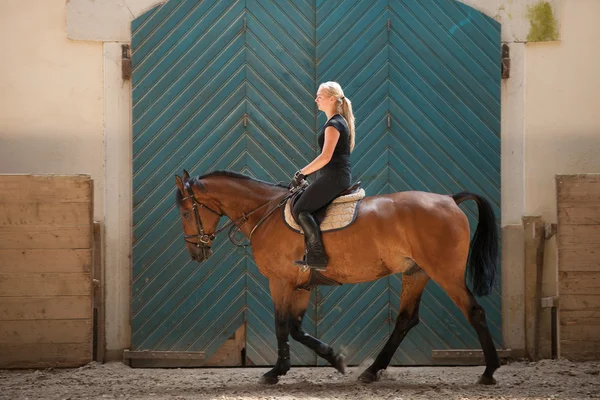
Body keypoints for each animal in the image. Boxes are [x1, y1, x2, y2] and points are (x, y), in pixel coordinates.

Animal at [175, 168, 502, 384]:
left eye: (185, 213)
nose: (195, 253)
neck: (264, 213)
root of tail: (449, 199)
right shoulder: (301, 285)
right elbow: (296, 328)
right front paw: (335, 358)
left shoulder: (280, 281)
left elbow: (281, 326)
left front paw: (275, 372)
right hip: (416, 273)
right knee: (405, 321)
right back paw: (371, 371)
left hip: (445, 273)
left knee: (474, 311)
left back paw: (489, 372)